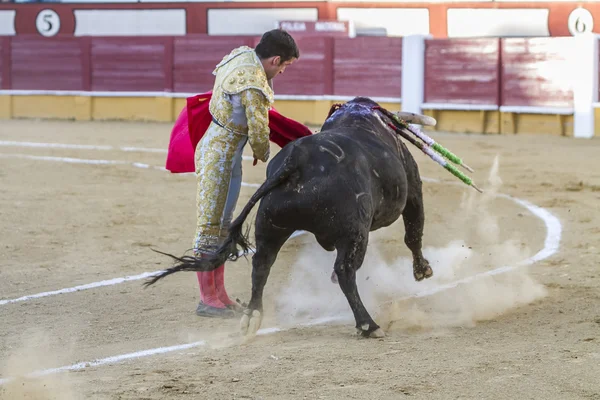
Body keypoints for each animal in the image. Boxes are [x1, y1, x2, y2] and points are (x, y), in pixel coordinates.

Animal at [145, 96, 436, 338]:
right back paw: (368, 325)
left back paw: (252, 316)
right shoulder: (413, 190)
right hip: (355, 232)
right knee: (345, 270)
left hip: (270, 224)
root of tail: (295, 162)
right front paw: (422, 270)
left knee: (262, 264)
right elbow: (413, 233)